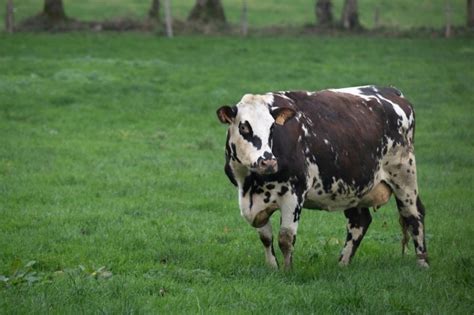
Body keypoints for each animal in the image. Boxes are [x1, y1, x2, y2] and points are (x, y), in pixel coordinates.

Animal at [218, 85, 430, 270]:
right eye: (244, 127)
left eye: (272, 128)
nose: (268, 161)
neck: (251, 183)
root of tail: (391, 91)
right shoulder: (252, 202)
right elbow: (265, 237)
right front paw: (273, 268)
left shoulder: (294, 193)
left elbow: (285, 238)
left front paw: (287, 271)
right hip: (354, 186)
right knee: (359, 221)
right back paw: (342, 264)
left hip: (404, 174)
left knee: (414, 214)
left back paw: (423, 263)